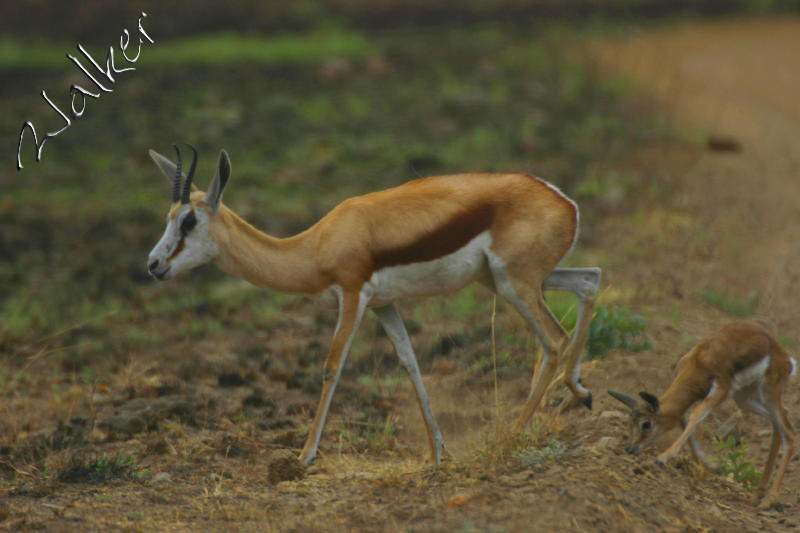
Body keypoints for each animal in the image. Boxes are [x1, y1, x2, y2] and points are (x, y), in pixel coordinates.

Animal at [148, 143, 600, 464]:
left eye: (189, 220)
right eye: (168, 217)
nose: (153, 265)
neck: (314, 246)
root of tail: (562, 200)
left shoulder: (353, 296)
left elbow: (332, 367)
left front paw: (305, 455)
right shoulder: (386, 305)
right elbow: (410, 363)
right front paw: (438, 452)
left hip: (513, 284)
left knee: (554, 340)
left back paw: (511, 435)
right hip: (507, 280)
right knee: (590, 280)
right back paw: (582, 392)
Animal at [612, 318, 792, 510]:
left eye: (646, 424)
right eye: (629, 422)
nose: (631, 449)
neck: (700, 361)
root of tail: (787, 359)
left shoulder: (721, 390)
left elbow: (696, 415)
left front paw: (662, 458)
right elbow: (686, 420)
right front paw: (709, 466)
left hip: (766, 393)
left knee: (789, 431)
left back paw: (768, 500)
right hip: (744, 398)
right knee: (779, 423)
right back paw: (756, 496)